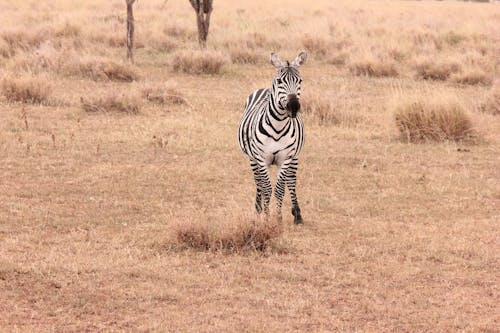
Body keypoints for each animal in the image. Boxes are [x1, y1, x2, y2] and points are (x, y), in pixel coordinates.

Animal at [237, 50, 306, 224]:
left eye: (300, 81)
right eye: (280, 81)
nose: (294, 107)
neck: (278, 126)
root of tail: (265, 89)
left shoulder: (286, 158)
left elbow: (280, 189)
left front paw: (279, 218)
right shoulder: (262, 159)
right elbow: (267, 188)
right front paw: (267, 218)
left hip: (294, 157)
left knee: (292, 181)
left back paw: (297, 214)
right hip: (253, 159)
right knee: (259, 183)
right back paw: (257, 210)